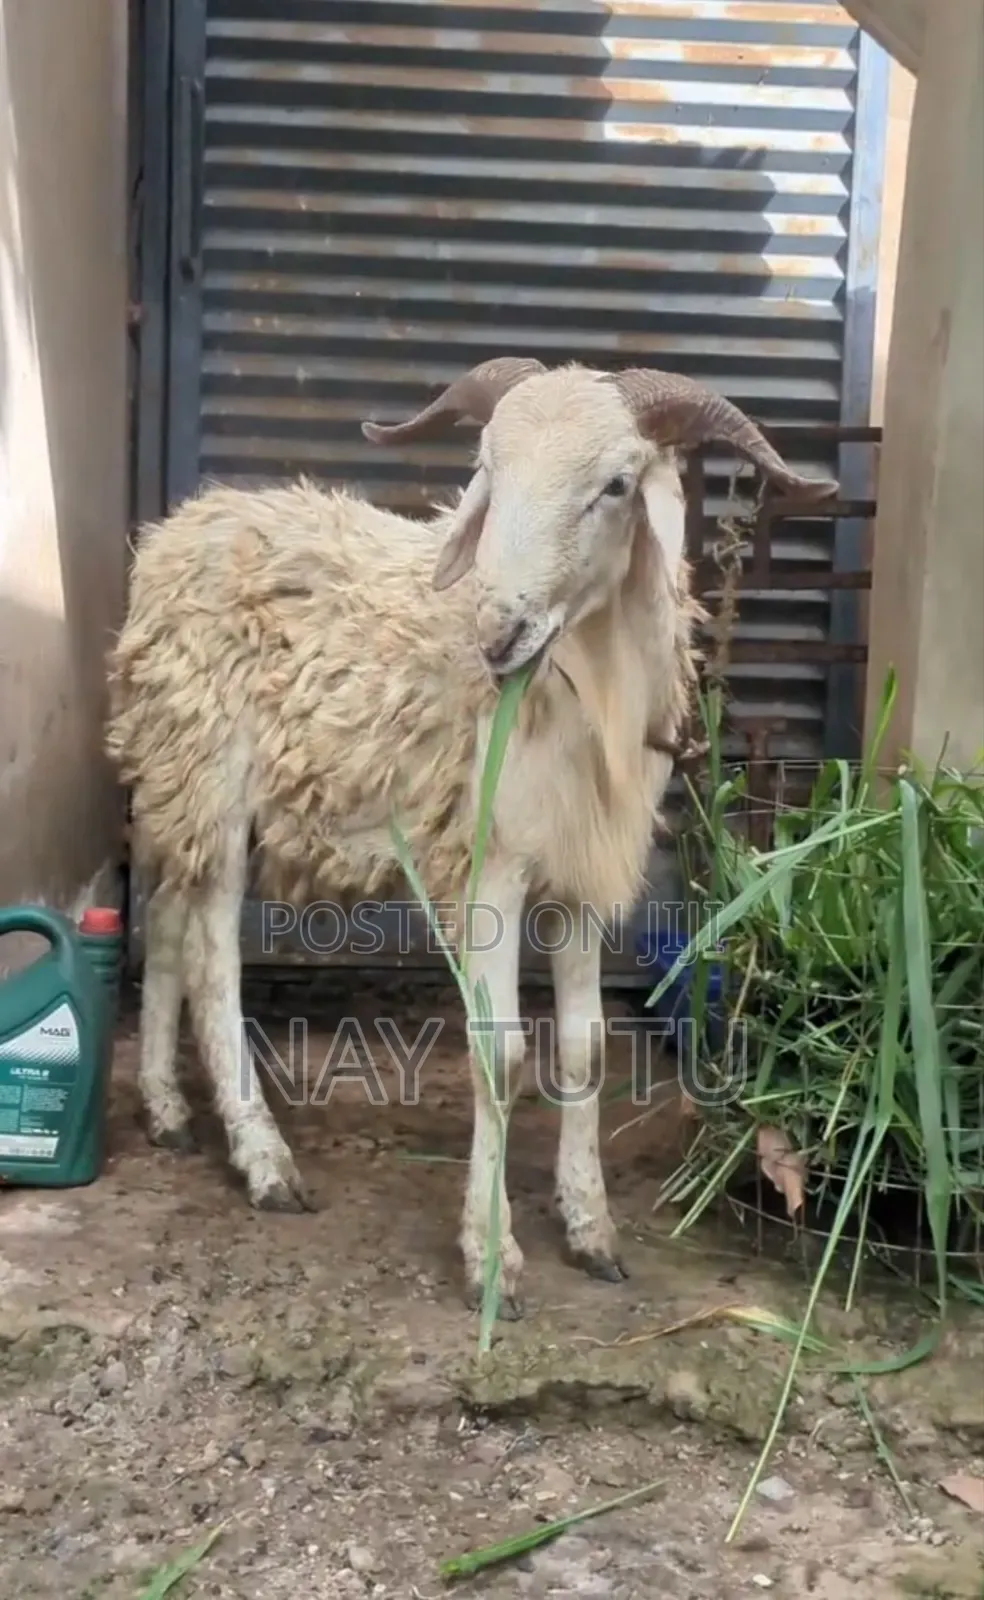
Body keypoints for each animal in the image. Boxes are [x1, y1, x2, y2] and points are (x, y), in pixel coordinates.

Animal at [105, 358, 837, 1318]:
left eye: (616, 485)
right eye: (489, 469)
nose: (497, 632)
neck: (575, 692)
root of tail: (182, 525)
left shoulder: (579, 878)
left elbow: (585, 1049)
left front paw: (591, 1227)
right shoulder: (491, 863)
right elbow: (502, 1055)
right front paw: (492, 1256)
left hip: (174, 784)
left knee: (163, 916)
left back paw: (166, 1109)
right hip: (213, 779)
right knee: (211, 957)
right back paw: (263, 1159)